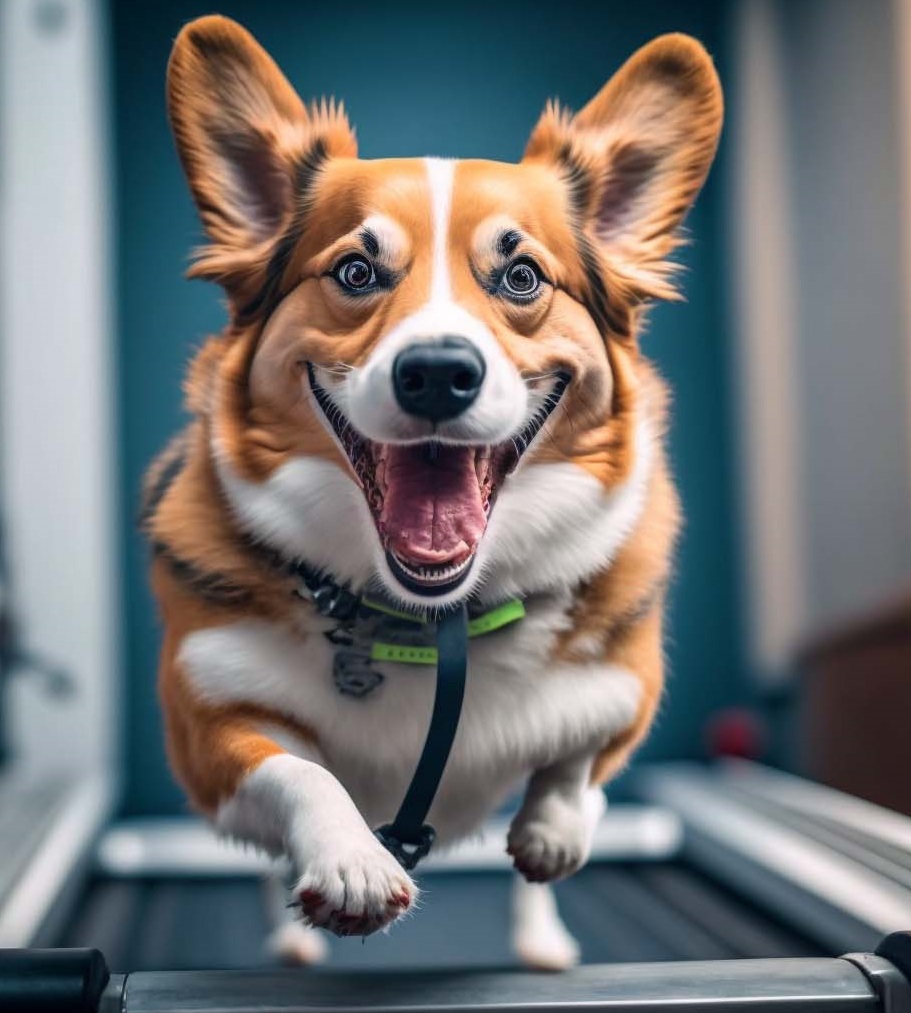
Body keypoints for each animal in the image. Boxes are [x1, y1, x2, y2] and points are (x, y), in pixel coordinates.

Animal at [145, 11, 721, 968]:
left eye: (521, 277)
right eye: (355, 272)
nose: (438, 374)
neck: (431, 620)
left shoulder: (626, 687)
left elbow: (579, 756)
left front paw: (554, 829)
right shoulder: (206, 724)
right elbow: (296, 767)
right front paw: (350, 862)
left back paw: (541, 938)